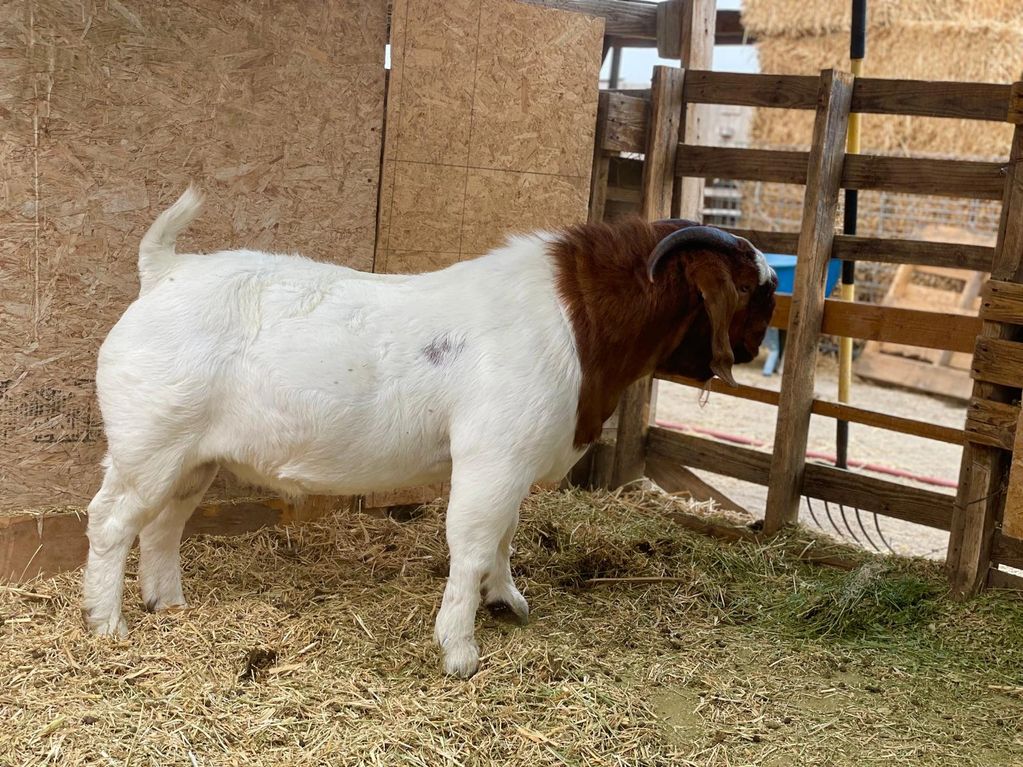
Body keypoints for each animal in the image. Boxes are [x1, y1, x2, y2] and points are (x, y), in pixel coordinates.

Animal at [82, 187, 777, 677]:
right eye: (753, 289)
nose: (753, 347)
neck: (574, 322)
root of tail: (165, 270)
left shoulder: (511, 464)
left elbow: (503, 537)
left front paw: (506, 602)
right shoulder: (491, 459)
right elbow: (471, 545)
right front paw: (460, 652)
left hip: (191, 459)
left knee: (163, 526)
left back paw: (169, 606)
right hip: (148, 446)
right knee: (111, 522)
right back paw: (107, 625)